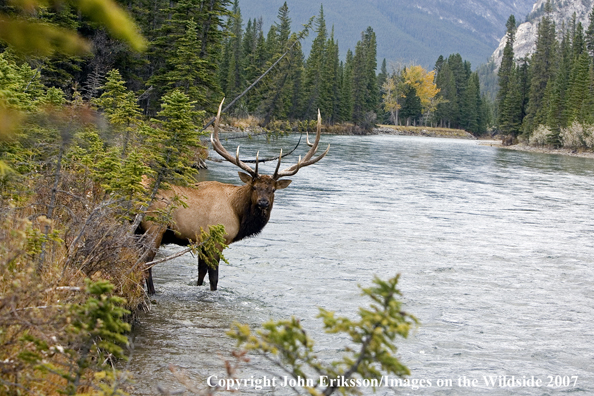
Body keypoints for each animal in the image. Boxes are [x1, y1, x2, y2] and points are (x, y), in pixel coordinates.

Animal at [139, 102, 328, 294]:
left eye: (273, 190)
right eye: (254, 187)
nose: (263, 202)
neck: (238, 213)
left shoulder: (202, 244)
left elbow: (200, 275)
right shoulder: (217, 240)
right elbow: (213, 278)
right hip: (154, 228)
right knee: (145, 263)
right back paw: (152, 292)